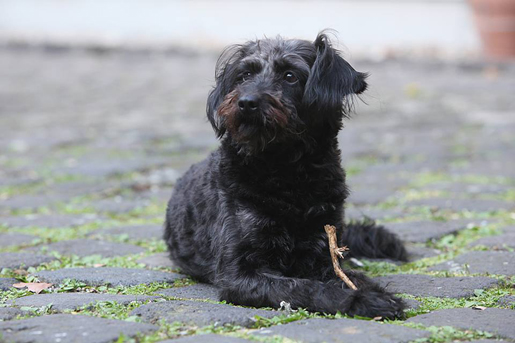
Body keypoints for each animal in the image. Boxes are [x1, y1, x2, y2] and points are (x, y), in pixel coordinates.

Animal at [165, 32, 408, 320]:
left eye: (290, 76)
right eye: (244, 75)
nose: (246, 102)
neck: (286, 174)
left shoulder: (322, 253)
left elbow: (348, 276)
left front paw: (368, 290)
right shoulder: (239, 274)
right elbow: (302, 287)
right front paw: (360, 300)